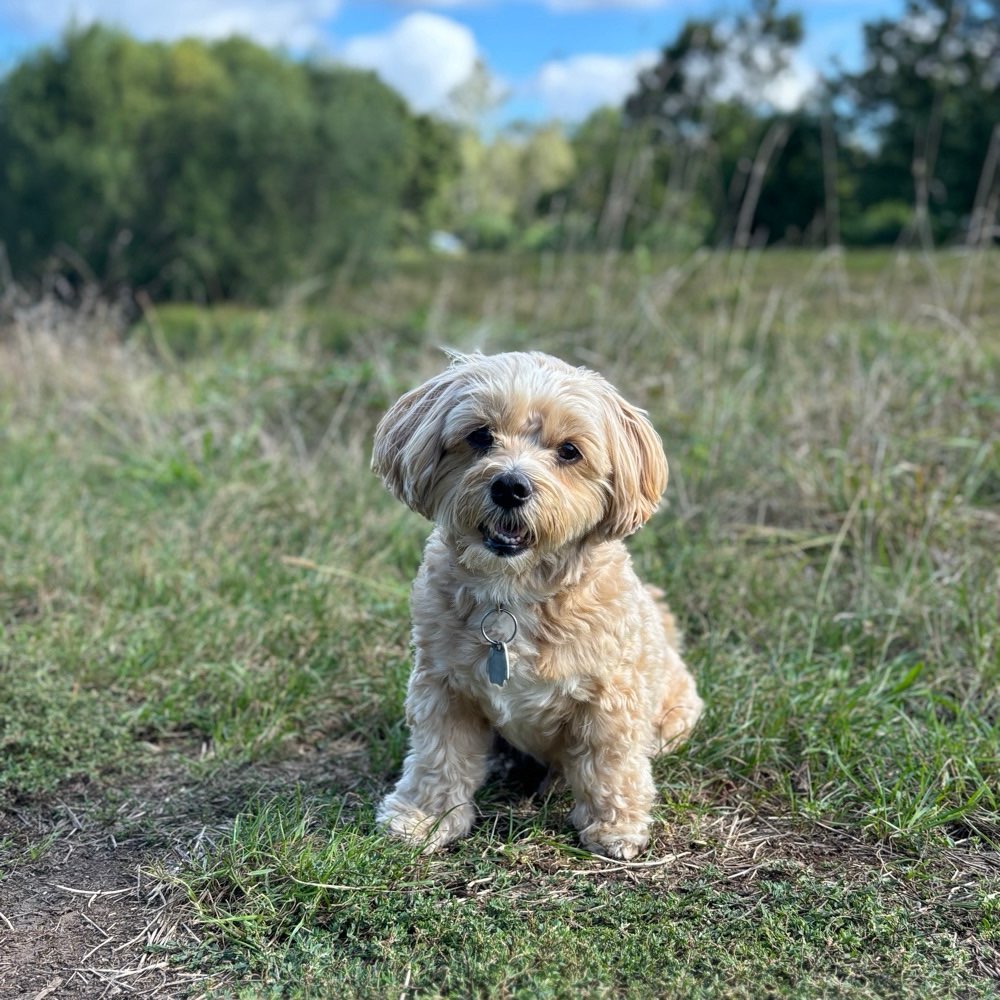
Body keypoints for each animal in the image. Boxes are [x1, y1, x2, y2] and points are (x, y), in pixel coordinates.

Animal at [372, 352, 708, 860]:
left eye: (569, 451)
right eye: (481, 436)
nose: (510, 486)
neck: (513, 592)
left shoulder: (611, 699)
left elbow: (609, 763)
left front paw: (615, 826)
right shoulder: (443, 688)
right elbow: (439, 756)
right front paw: (425, 816)